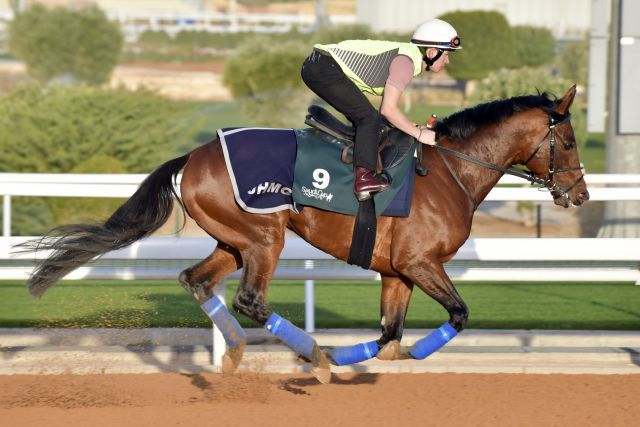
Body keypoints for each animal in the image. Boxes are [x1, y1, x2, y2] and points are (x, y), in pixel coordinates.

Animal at [26, 85, 592, 382]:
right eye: (567, 140)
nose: (580, 195)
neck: (451, 170)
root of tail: (193, 156)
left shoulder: (398, 272)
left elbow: (389, 336)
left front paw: (352, 358)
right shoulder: (420, 263)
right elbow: (457, 314)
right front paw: (336, 358)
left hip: (234, 241)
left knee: (197, 280)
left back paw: (237, 354)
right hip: (264, 237)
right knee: (250, 300)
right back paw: (311, 355)